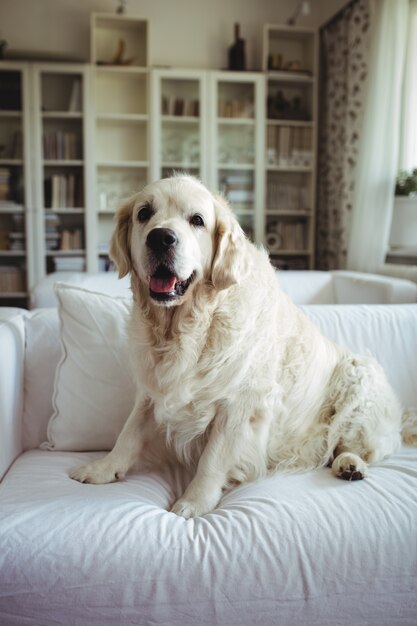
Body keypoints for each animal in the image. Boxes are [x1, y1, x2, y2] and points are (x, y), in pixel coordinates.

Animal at [70, 173, 412, 516]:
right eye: (144, 213)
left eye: (197, 220)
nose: (161, 238)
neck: (187, 329)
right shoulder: (152, 391)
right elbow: (129, 432)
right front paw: (102, 469)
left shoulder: (241, 403)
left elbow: (213, 458)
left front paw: (193, 502)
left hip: (358, 377)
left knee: (359, 447)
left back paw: (351, 464)